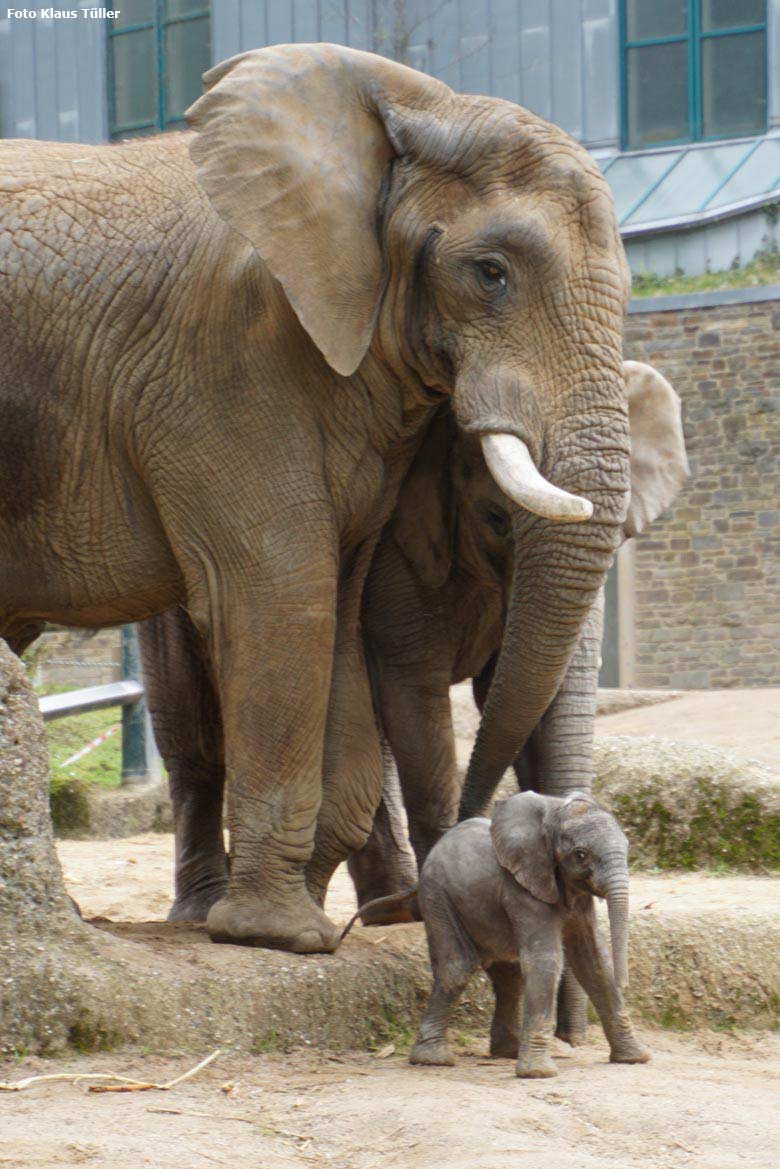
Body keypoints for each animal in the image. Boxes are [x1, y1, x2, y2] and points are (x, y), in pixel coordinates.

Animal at [3, 45, 636, 953]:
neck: (411, 107)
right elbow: (285, 589)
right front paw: (281, 936)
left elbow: (336, 599)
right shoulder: (222, 359)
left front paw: (312, 918)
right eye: (491, 273)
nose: (483, 819)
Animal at [411, 794, 650, 1075]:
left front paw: (635, 1058)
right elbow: (546, 959)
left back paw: (508, 1052)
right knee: (457, 967)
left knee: (510, 975)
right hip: (437, 896)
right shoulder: (523, 888)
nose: (626, 984)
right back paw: (433, 1059)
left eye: (627, 847)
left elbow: (594, 962)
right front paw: (539, 1073)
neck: (555, 813)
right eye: (581, 855)